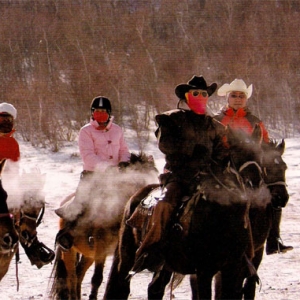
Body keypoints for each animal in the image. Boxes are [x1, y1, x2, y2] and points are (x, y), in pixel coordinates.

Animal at [48, 154, 158, 298]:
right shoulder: (101, 249)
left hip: (88, 255)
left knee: (79, 274)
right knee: (71, 278)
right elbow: (97, 278)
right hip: (69, 252)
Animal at [103, 125, 272, 300]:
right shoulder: (204, 271)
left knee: (154, 289)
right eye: (235, 155)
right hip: (126, 259)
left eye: (259, 155)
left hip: (164, 265)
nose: (255, 184)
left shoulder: (233, 269)